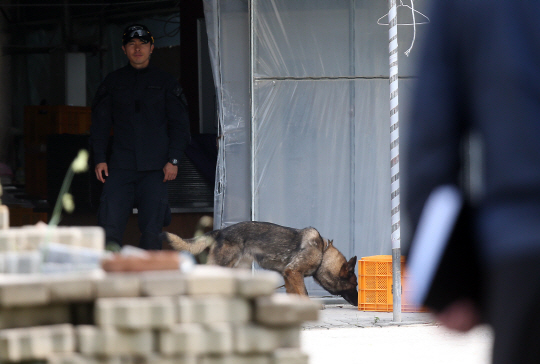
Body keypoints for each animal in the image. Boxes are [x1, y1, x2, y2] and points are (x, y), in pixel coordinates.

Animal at [162, 220, 360, 306]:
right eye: (355, 285)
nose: (359, 303)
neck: (322, 252)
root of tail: (221, 231)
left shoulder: (288, 277)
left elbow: (294, 295)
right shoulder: (294, 272)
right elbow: (303, 294)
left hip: (238, 269)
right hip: (222, 266)